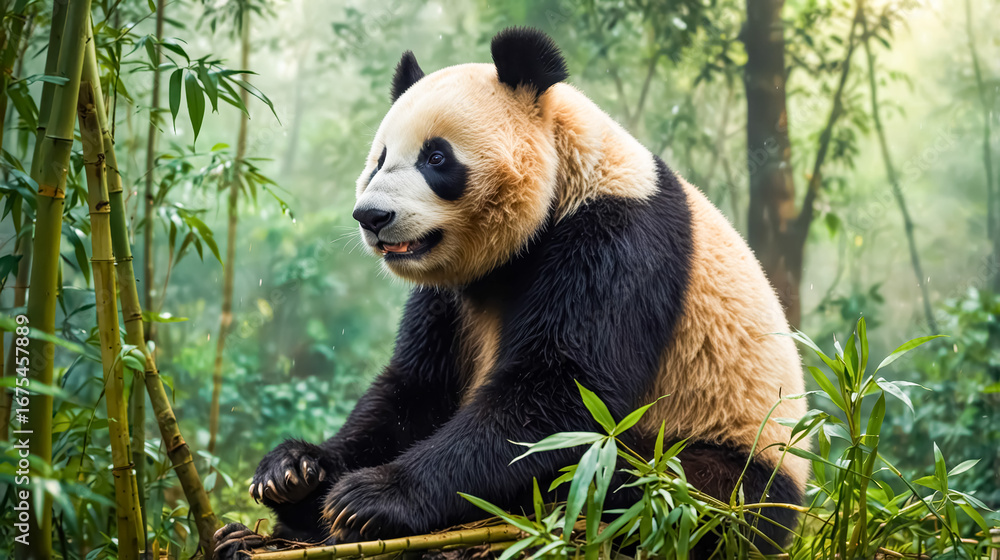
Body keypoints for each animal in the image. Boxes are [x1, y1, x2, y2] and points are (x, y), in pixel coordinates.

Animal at [215, 27, 808, 560]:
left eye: (436, 158)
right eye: (380, 158)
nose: (372, 216)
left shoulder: (619, 240)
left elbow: (557, 394)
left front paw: (369, 498)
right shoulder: (454, 293)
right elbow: (415, 390)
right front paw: (294, 472)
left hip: (729, 463)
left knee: (642, 485)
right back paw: (247, 536)